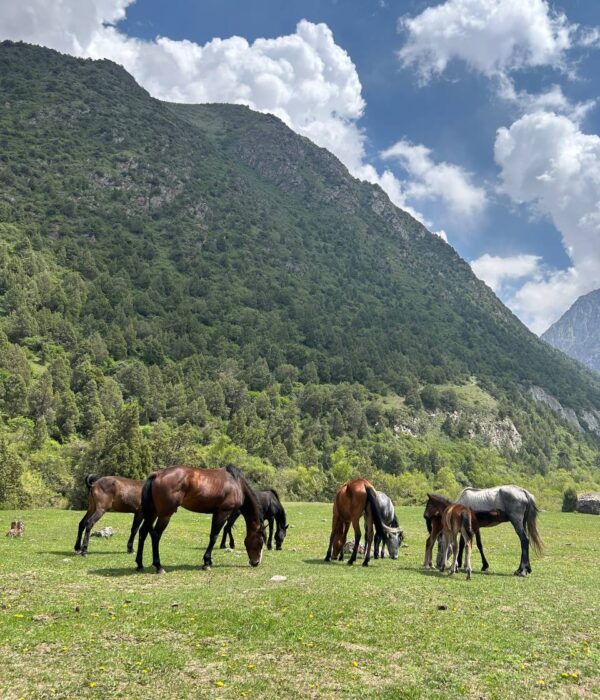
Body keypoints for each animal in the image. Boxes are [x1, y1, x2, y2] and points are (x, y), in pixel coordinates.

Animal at [135, 465, 265, 573]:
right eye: (260, 541)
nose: (256, 562)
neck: (236, 484)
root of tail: (157, 474)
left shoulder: (217, 513)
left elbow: (214, 535)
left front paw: (209, 561)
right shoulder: (223, 513)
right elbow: (214, 536)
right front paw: (206, 563)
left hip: (152, 513)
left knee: (143, 532)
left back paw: (140, 564)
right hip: (165, 515)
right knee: (156, 535)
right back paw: (159, 566)